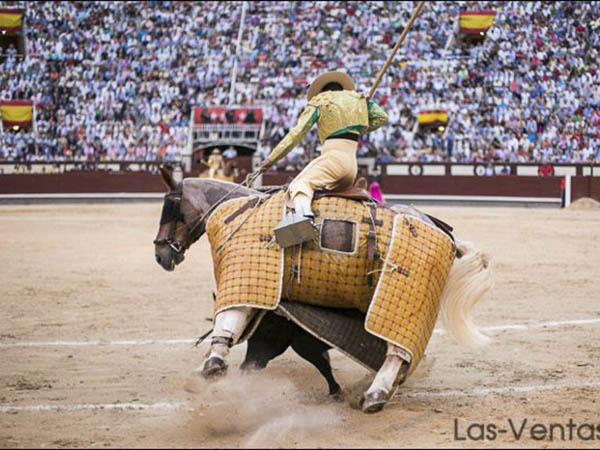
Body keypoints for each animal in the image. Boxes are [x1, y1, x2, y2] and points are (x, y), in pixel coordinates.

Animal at [154, 168, 492, 412]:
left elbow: (230, 319)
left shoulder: (246, 279)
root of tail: (443, 231)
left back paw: (375, 395)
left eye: (169, 207)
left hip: (404, 298)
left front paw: (212, 367)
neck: (240, 211)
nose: (160, 255)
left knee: (397, 351)